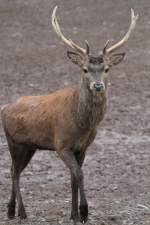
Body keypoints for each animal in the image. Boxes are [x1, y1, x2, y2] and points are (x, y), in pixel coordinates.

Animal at [0, 6, 138, 225]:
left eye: (106, 68)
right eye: (85, 69)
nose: (97, 85)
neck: (81, 124)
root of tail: (4, 108)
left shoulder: (82, 147)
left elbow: (73, 177)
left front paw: (73, 214)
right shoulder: (61, 145)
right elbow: (79, 175)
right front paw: (84, 212)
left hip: (29, 146)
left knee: (14, 170)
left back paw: (11, 210)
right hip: (14, 142)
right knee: (14, 172)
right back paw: (21, 212)